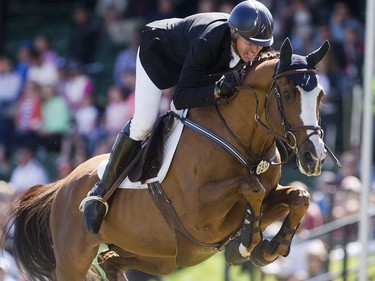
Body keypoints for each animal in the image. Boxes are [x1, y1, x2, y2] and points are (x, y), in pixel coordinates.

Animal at [2, 38, 332, 278]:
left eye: (321, 96)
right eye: (287, 95)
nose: (314, 157)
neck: (242, 142)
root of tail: (61, 186)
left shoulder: (268, 197)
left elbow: (299, 196)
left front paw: (270, 248)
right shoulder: (199, 214)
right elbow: (251, 186)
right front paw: (245, 245)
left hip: (163, 256)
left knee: (111, 260)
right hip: (74, 260)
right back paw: (93, 208)